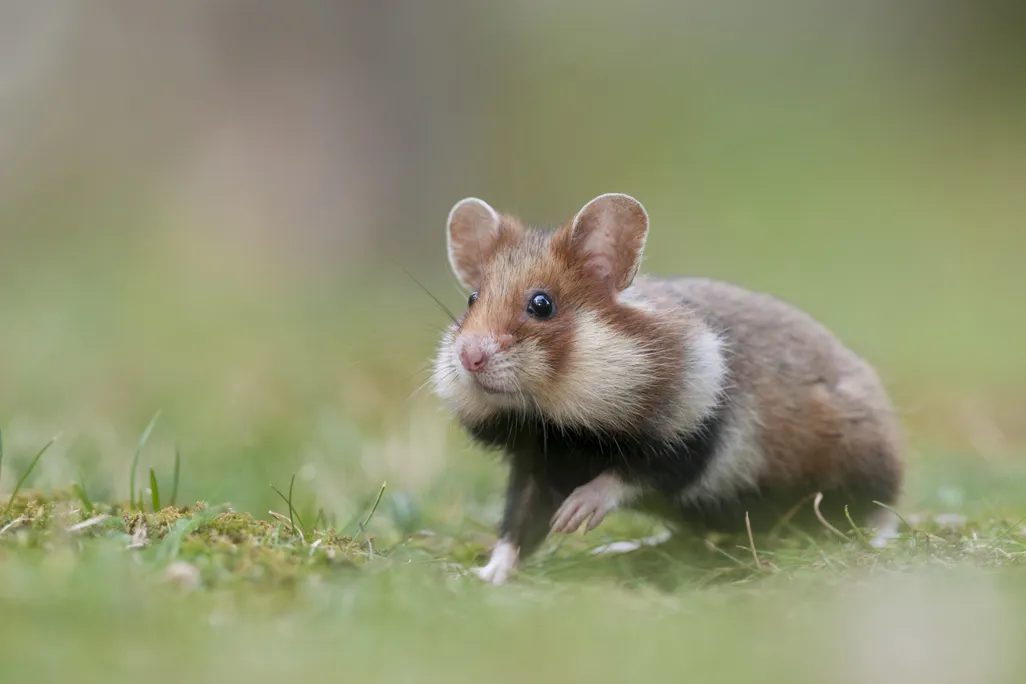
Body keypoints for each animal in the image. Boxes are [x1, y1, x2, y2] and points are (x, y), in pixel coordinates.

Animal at [432, 193, 904, 585]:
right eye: (472, 299)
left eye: (542, 304)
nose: (469, 357)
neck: (555, 418)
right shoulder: (534, 465)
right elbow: (517, 526)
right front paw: (485, 575)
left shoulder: (696, 432)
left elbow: (633, 474)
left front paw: (576, 514)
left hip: (860, 465)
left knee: (879, 510)